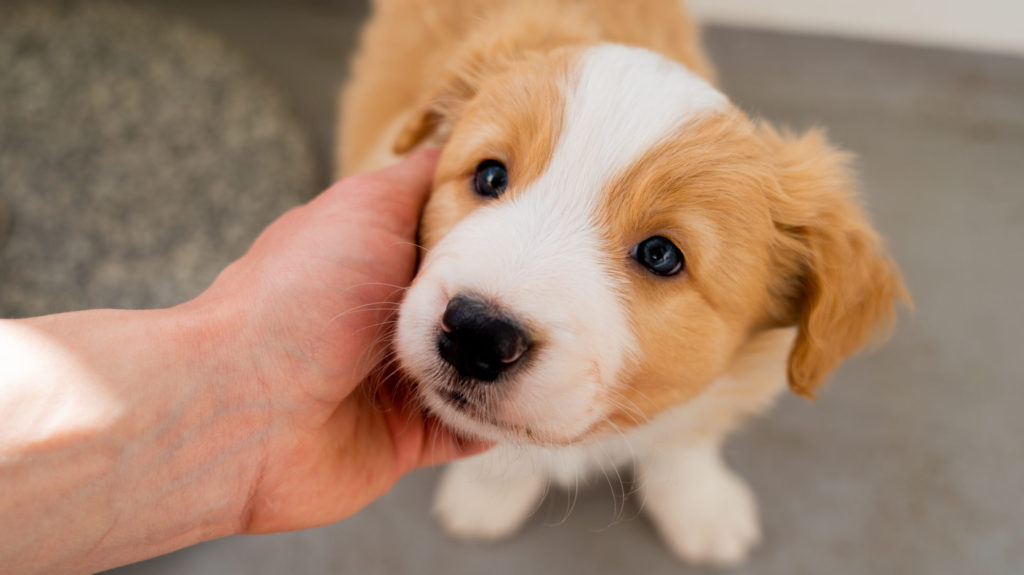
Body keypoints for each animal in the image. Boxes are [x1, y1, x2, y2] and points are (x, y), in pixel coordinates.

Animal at [335, 0, 905, 564]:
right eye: (490, 176)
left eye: (660, 255)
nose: (476, 333)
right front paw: (486, 494)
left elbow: (683, 441)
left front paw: (702, 507)